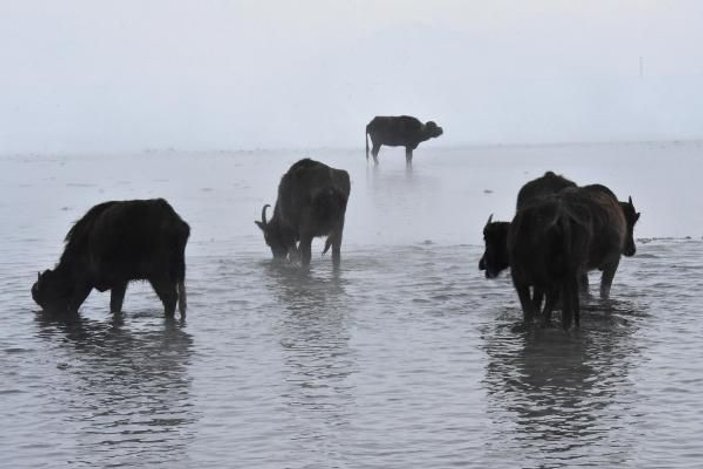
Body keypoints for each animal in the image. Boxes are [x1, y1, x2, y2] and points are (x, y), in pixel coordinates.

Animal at [32, 199, 190, 316]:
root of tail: (174, 222)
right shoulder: (121, 282)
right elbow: (115, 306)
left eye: (47, 298)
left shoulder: (85, 283)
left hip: (157, 273)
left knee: (170, 298)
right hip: (178, 270)